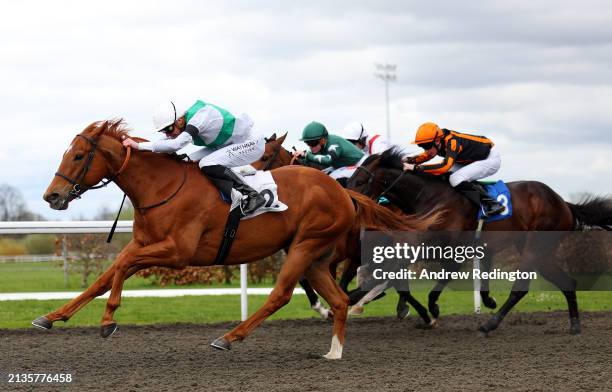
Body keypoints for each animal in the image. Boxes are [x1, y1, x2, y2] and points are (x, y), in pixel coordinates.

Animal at [35, 121, 436, 360]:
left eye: (79, 155)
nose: (51, 196)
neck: (161, 188)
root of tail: (342, 191)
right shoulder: (143, 245)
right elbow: (106, 275)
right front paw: (52, 317)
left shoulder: (177, 252)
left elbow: (120, 268)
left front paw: (107, 321)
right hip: (315, 255)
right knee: (337, 298)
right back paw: (334, 350)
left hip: (306, 245)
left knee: (282, 294)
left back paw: (229, 337)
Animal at [350, 149, 612, 336]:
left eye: (361, 180)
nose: (349, 202)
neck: (431, 199)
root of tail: (563, 203)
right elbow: (392, 272)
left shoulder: (452, 254)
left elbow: (421, 284)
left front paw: (431, 311)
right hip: (540, 252)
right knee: (568, 283)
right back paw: (575, 326)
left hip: (535, 247)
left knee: (520, 289)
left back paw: (489, 325)